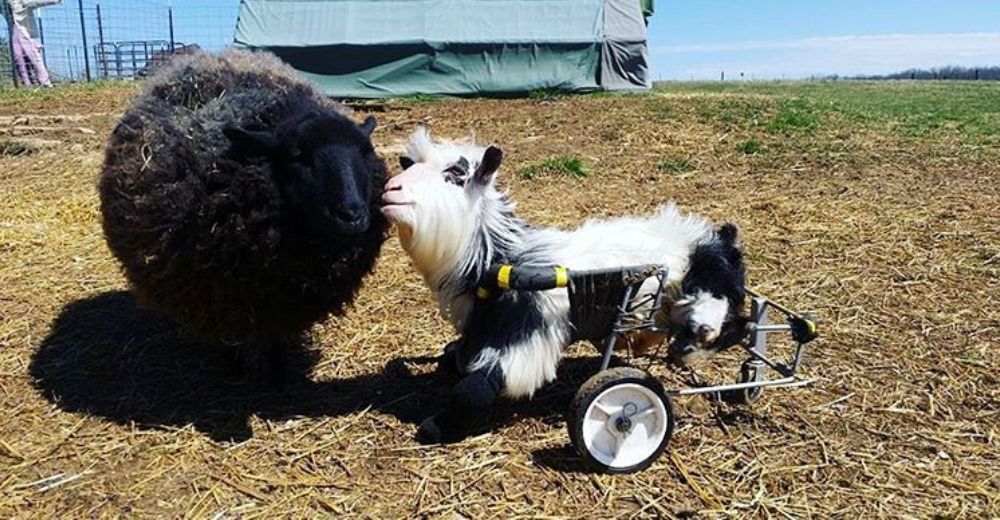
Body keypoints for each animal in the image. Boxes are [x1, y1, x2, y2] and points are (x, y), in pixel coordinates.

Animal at [97, 50, 386, 380]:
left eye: (365, 152)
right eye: (296, 155)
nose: (352, 215)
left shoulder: (282, 300)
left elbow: (276, 335)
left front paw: (278, 373)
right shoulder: (222, 293)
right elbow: (230, 335)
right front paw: (236, 368)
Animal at [382, 128, 752, 440]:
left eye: (456, 174)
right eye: (410, 164)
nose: (390, 189)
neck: (504, 258)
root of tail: (717, 237)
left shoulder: (526, 335)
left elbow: (473, 389)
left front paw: (436, 427)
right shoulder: (482, 324)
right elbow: (456, 359)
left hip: (707, 281)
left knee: (731, 316)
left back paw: (701, 336)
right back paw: (682, 349)